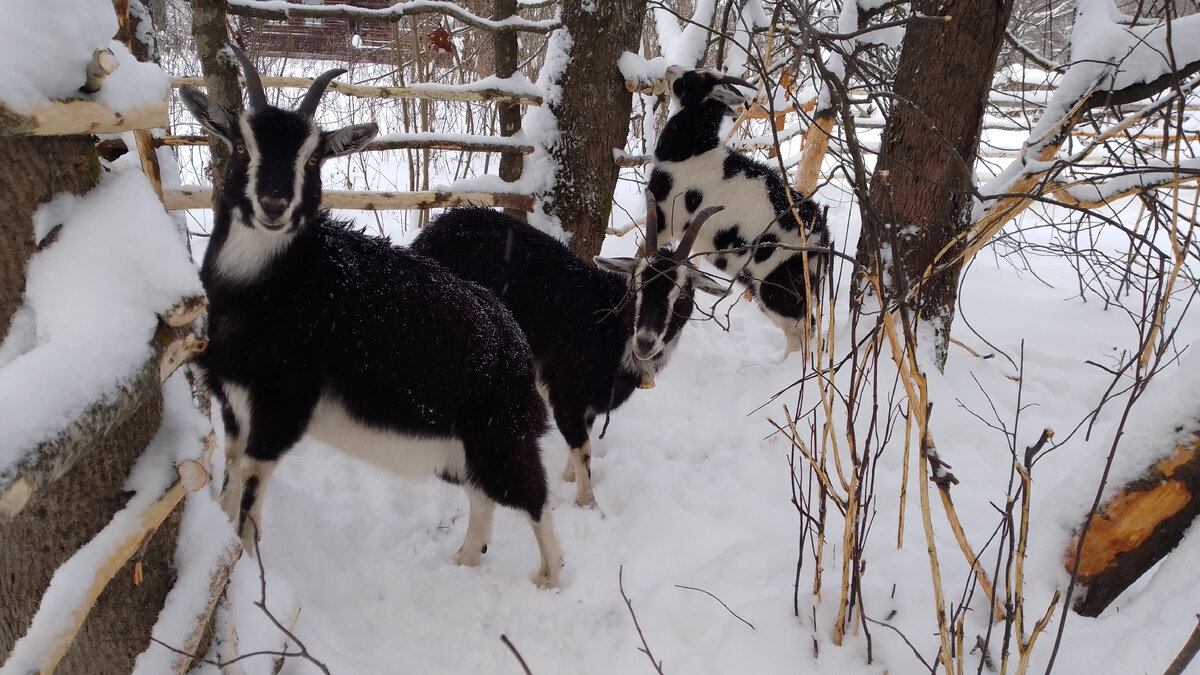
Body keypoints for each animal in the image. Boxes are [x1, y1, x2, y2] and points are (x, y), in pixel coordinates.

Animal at [177, 45, 561, 583]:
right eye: (240, 146)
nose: (274, 205)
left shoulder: (282, 407)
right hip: (461, 447)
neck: (270, 287)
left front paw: (250, 573)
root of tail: (515, 343)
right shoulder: (235, 405)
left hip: (500, 434)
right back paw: (464, 559)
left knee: (533, 494)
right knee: (481, 492)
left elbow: (249, 492)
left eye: (314, 157)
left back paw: (551, 577)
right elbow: (232, 481)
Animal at [412, 196, 724, 506]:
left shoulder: (589, 404)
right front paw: (589, 504)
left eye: (682, 294)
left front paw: (569, 479)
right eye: (634, 285)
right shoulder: (565, 394)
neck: (607, 331)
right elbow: (583, 449)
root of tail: (432, 231)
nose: (645, 342)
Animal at [648, 65, 835, 355]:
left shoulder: (665, 216)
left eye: (695, 78)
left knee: (803, 327)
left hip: (777, 287)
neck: (694, 150)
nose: (670, 69)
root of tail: (823, 238)